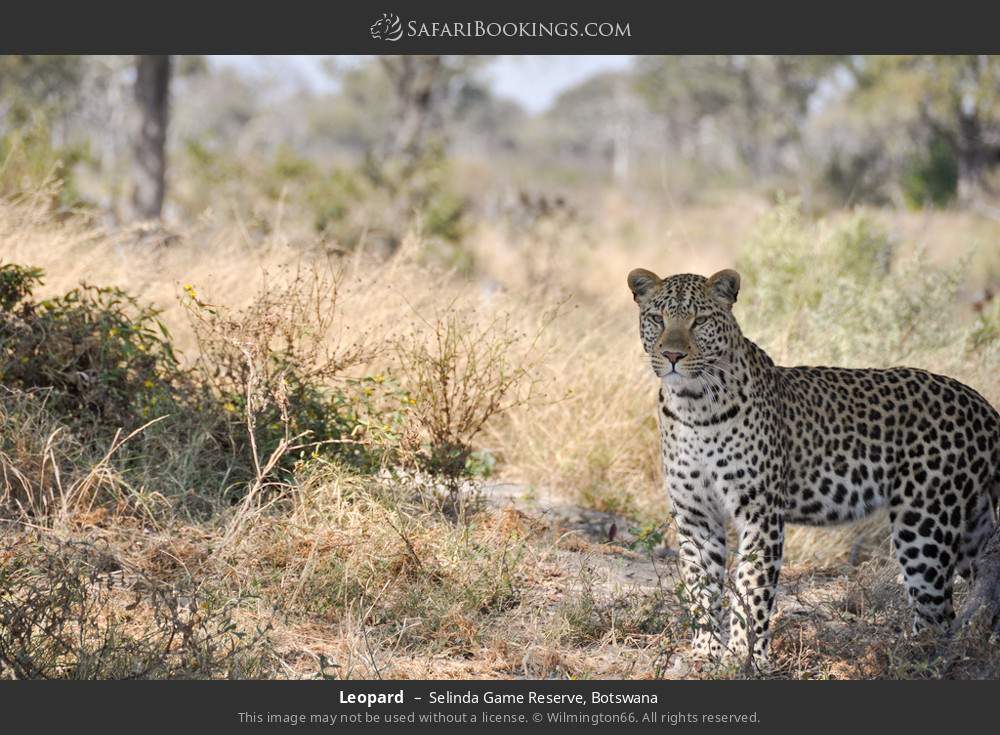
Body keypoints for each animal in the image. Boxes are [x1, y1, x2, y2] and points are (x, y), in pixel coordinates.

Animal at [627, 267, 1000, 671]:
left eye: (700, 321)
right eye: (657, 318)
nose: (672, 354)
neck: (693, 404)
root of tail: (982, 403)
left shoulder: (761, 512)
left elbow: (751, 587)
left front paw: (744, 657)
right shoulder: (696, 514)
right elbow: (700, 584)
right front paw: (704, 653)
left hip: (925, 525)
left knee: (937, 615)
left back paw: (908, 660)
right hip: (970, 526)